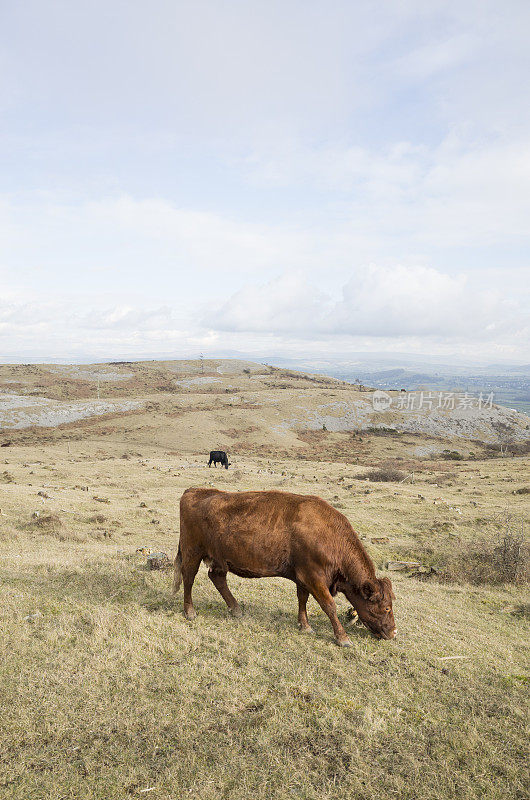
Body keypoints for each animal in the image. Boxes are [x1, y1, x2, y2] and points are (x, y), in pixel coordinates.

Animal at [173, 488, 396, 644]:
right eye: (386, 607)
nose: (393, 632)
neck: (329, 535)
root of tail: (193, 491)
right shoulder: (314, 578)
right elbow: (329, 606)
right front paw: (343, 638)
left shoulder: (303, 577)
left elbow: (302, 600)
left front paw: (305, 626)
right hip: (192, 552)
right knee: (189, 578)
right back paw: (190, 612)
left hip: (220, 560)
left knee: (217, 578)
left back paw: (236, 610)